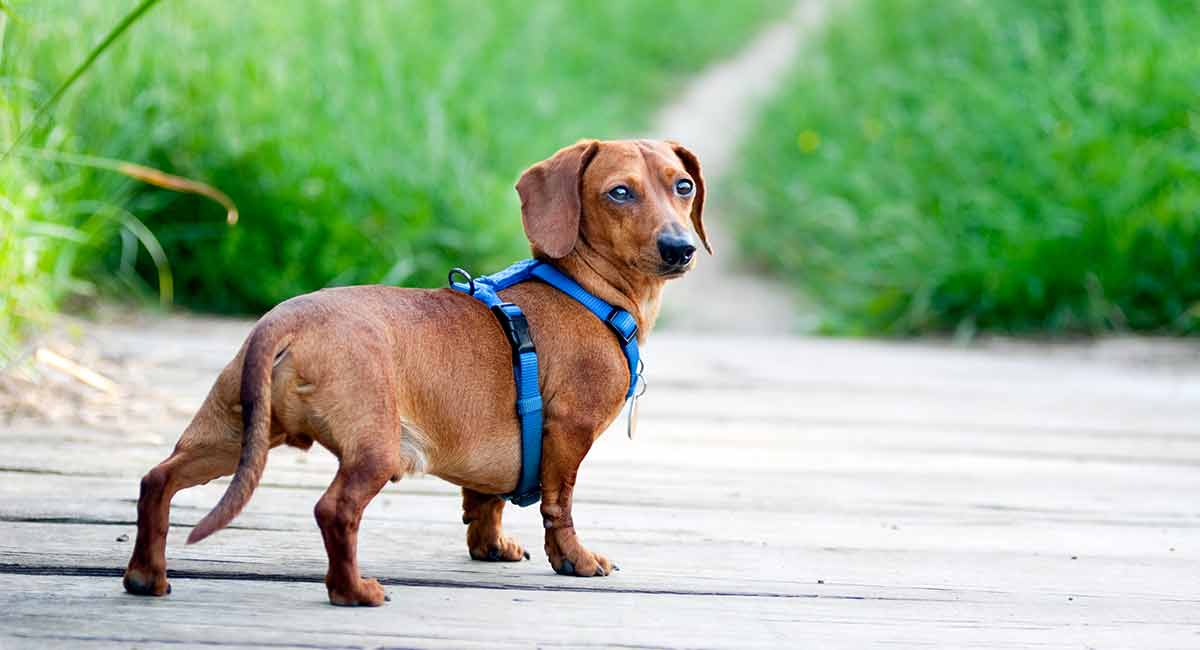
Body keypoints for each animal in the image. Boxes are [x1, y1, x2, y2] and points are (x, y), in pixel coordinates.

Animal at [121, 137, 705, 606]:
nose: (681, 249)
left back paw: (145, 576)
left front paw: (490, 547)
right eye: (619, 193)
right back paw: (354, 592)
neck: (585, 287)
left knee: (157, 480)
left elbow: (485, 501)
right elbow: (558, 507)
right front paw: (576, 560)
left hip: (230, 435)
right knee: (334, 511)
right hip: (372, 449)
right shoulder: (569, 433)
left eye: (683, 186)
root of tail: (287, 321)